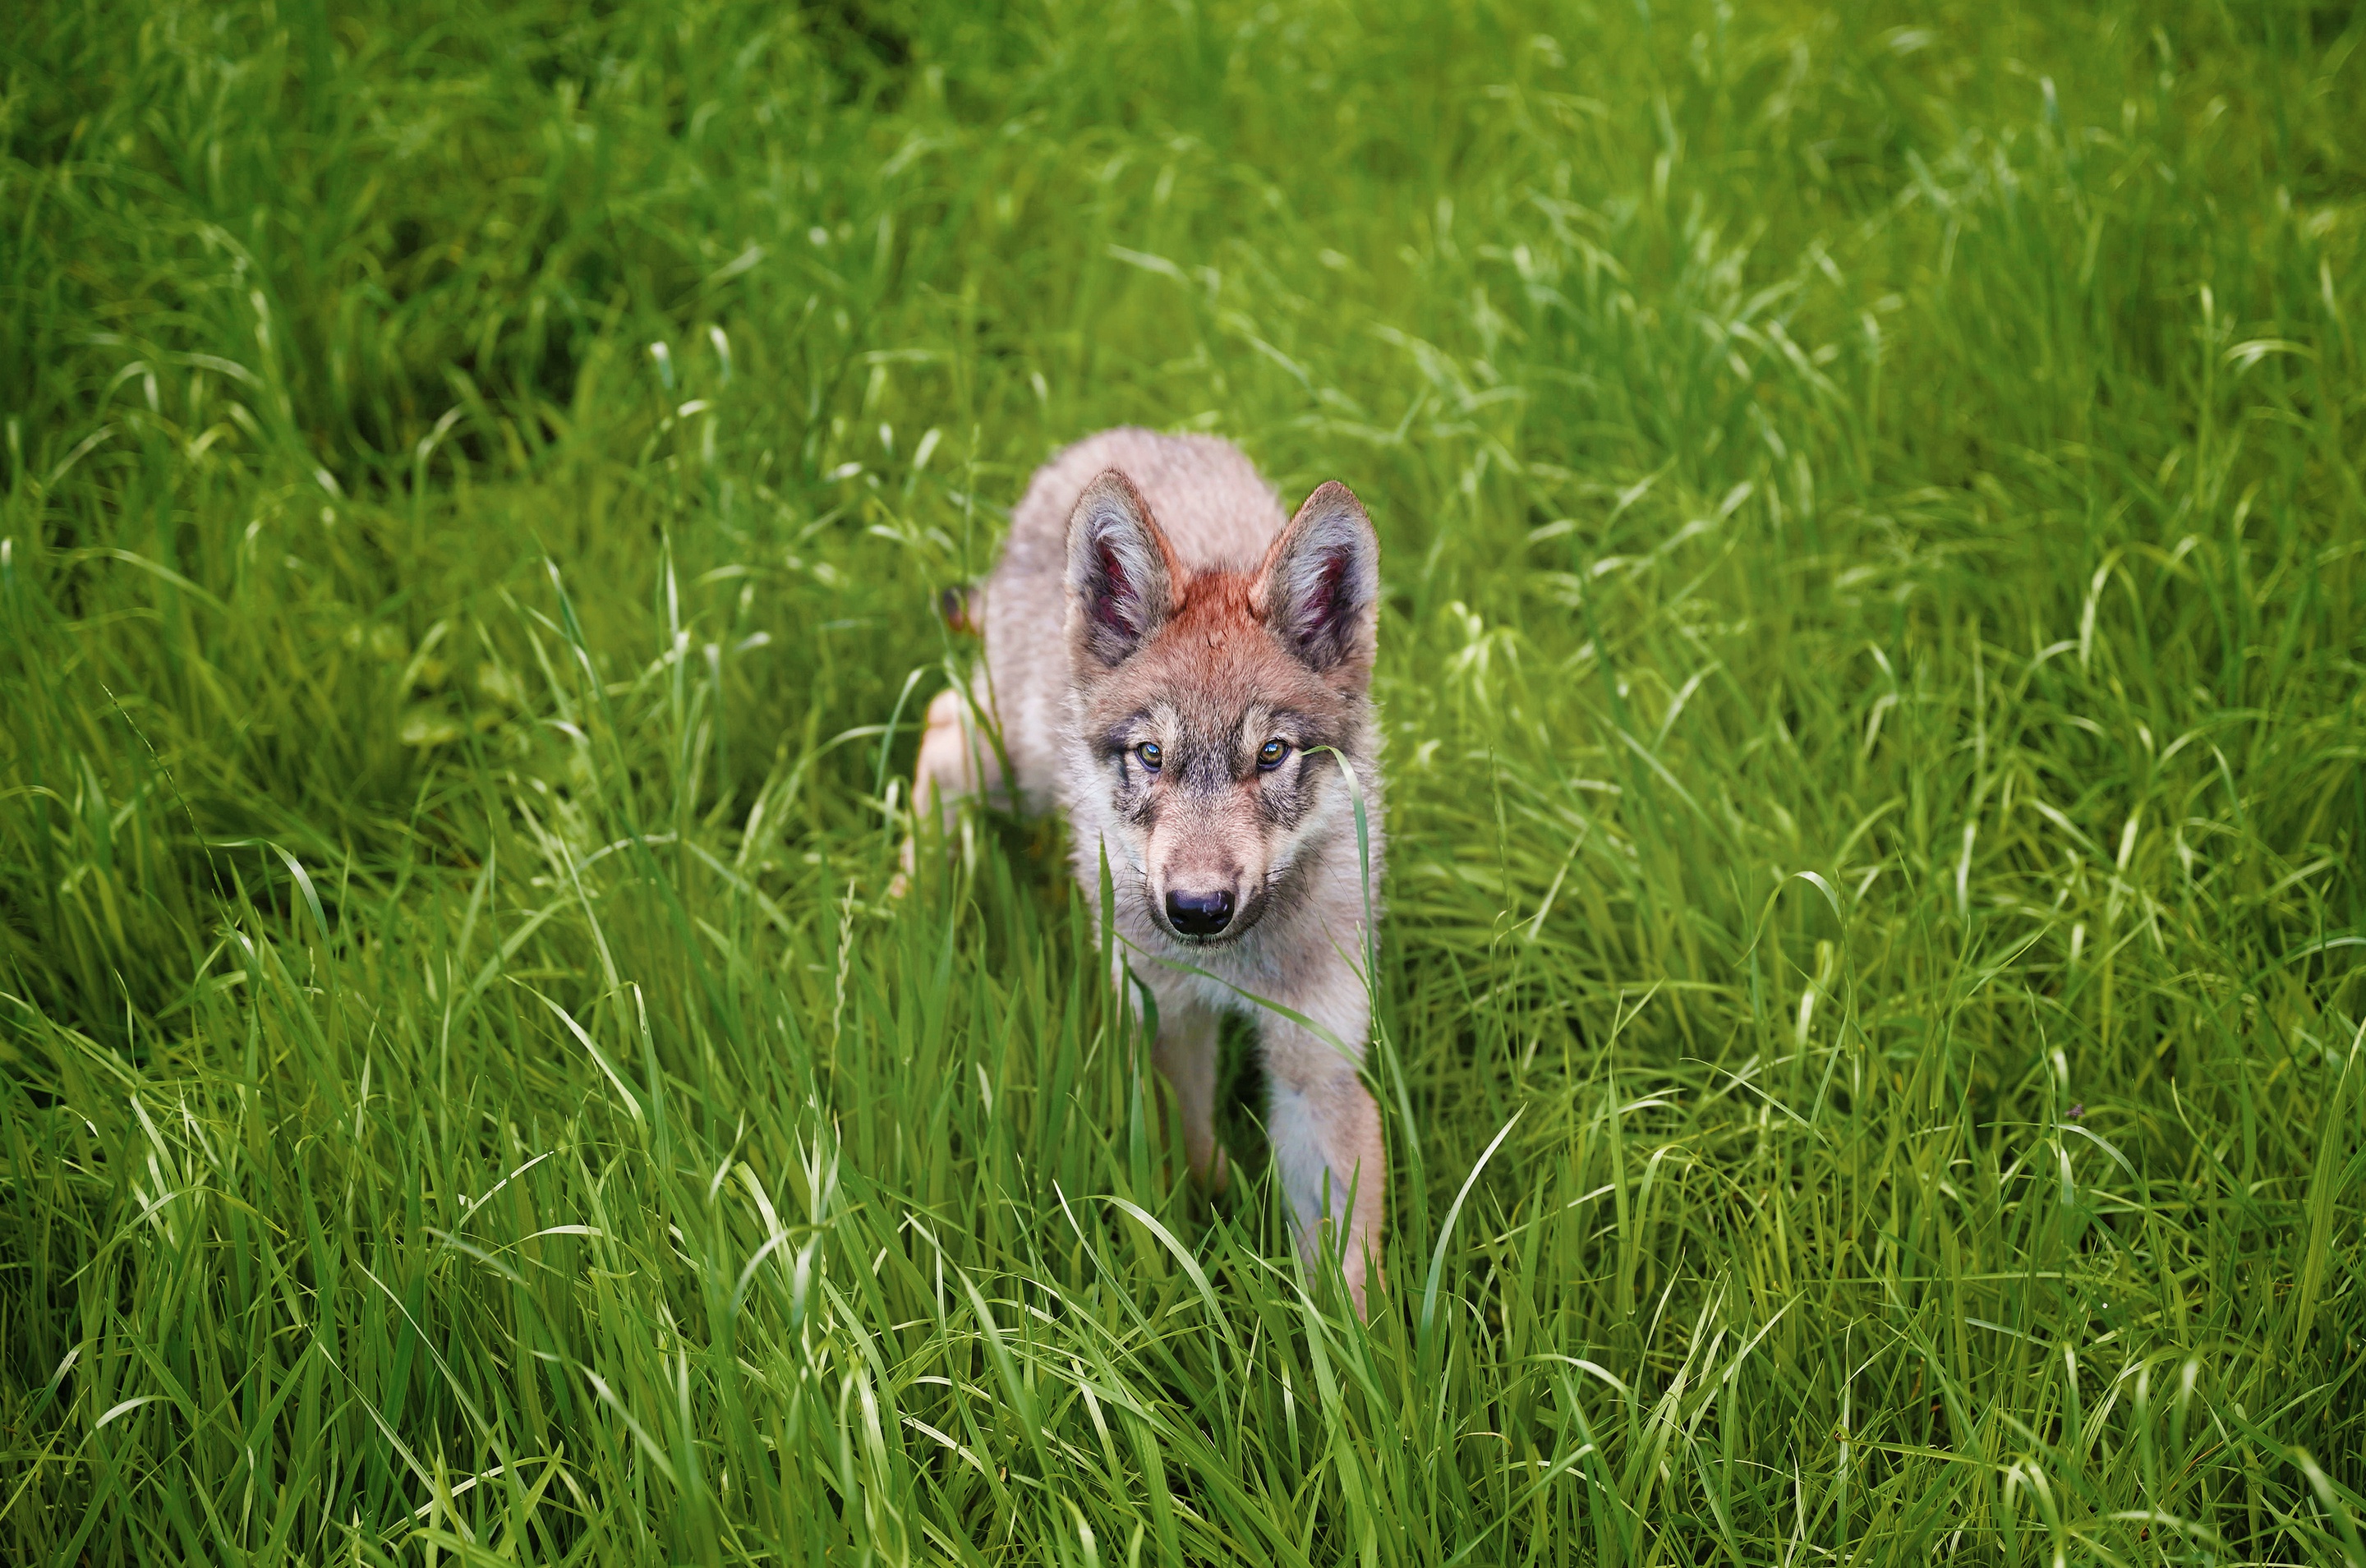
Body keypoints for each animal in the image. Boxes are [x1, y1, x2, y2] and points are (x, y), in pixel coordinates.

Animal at [904, 425, 1381, 1314]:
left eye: (1271, 754)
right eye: (1152, 755)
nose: (1197, 908)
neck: (1231, 967)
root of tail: (1103, 442)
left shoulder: (1320, 1069)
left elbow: (1345, 1287)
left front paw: (1358, 1353)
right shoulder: (1165, 1020)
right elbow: (1190, 1152)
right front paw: (1213, 1223)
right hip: (1018, 767)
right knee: (944, 725)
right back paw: (903, 901)